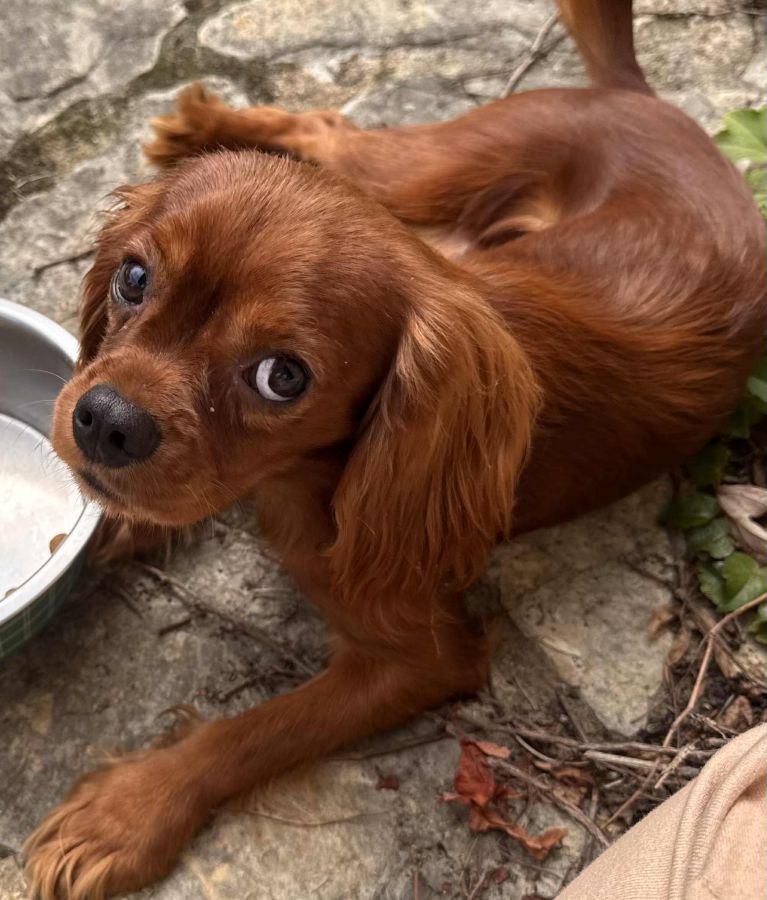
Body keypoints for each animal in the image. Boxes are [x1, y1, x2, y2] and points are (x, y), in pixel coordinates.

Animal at [26, 0, 765, 896]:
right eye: (132, 279)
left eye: (282, 377)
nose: (104, 420)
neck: (304, 475)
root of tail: (644, 100)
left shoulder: (423, 658)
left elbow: (260, 729)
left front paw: (127, 812)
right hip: (432, 172)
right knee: (329, 129)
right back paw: (203, 125)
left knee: (339, 133)